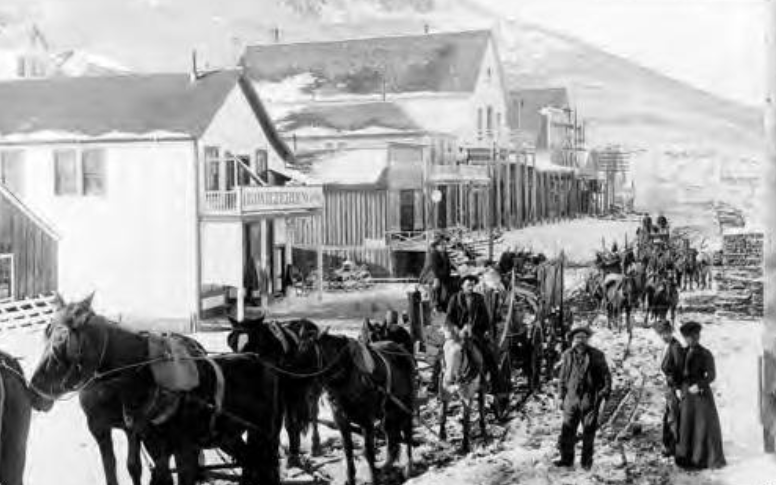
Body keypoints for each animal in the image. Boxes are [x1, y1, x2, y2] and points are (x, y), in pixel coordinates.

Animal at [31, 294, 284, 484]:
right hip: (229, 436)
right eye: (46, 332)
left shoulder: (184, 452)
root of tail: (260, 361)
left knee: (265, 465)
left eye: (61, 343)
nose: (34, 388)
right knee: (251, 462)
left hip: (265, 433)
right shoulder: (151, 445)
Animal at [226, 316, 322, 466]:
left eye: (251, 343)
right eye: (232, 343)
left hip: (311, 387)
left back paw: (314, 445)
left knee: (313, 412)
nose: (237, 368)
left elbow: (283, 423)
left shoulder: (283, 394)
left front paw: (292, 457)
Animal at [292, 328, 416, 484]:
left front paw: (373, 478)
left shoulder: (366, 421)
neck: (346, 376)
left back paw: (409, 467)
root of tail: (402, 350)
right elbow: (348, 451)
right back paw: (387, 465)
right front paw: (351, 478)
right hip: (389, 411)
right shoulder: (342, 421)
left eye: (306, 354)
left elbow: (368, 452)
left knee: (407, 432)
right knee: (391, 436)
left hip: (406, 405)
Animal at [436, 326, 484, 454]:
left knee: (481, 406)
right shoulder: (445, 392)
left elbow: (466, 419)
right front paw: (442, 436)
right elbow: (443, 413)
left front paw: (465, 445)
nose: (449, 379)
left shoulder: (468, 397)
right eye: (444, 350)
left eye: (462, 350)